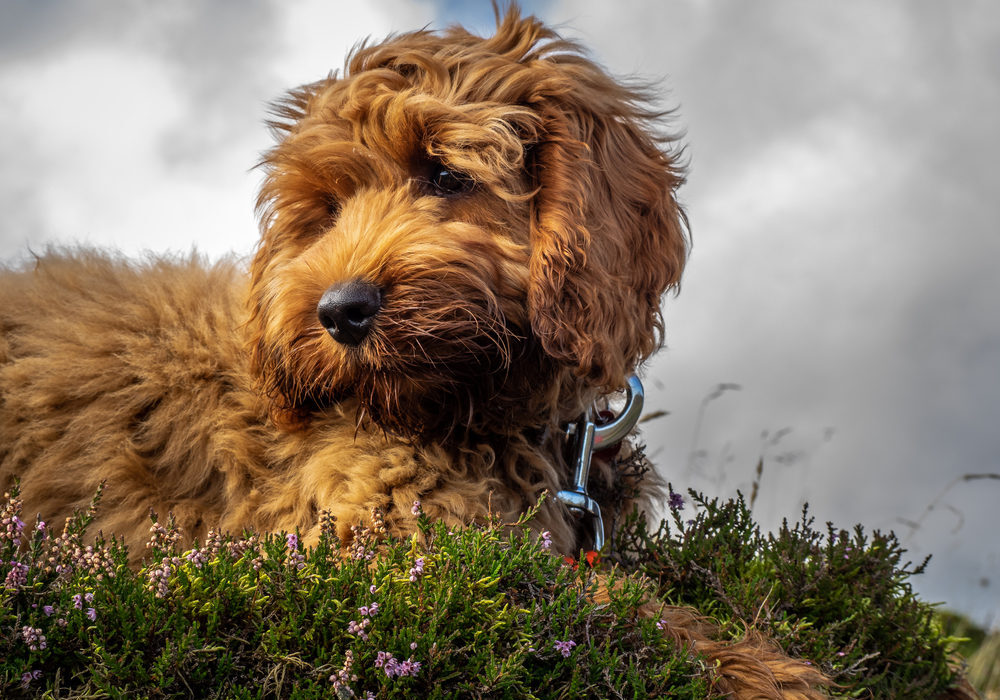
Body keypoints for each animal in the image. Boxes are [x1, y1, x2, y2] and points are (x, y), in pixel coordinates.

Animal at [0, 6, 844, 700]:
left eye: (445, 174)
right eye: (327, 210)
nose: (339, 312)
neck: (486, 413)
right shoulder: (375, 541)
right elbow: (594, 599)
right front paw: (760, 670)